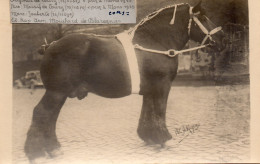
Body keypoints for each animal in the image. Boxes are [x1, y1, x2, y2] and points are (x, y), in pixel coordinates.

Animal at [24, 0, 225, 160]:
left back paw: (53, 149)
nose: (221, 40)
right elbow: (159, 111)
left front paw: (150, 137)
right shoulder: (162, 85)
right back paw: (36, 152)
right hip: (56, 92)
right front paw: (164, 138)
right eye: (203, 18)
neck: (154, 41)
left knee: (50, 116)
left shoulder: (150, 89)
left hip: (60, 93)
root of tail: (50, 45)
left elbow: (147, 112)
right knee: (42, 113)